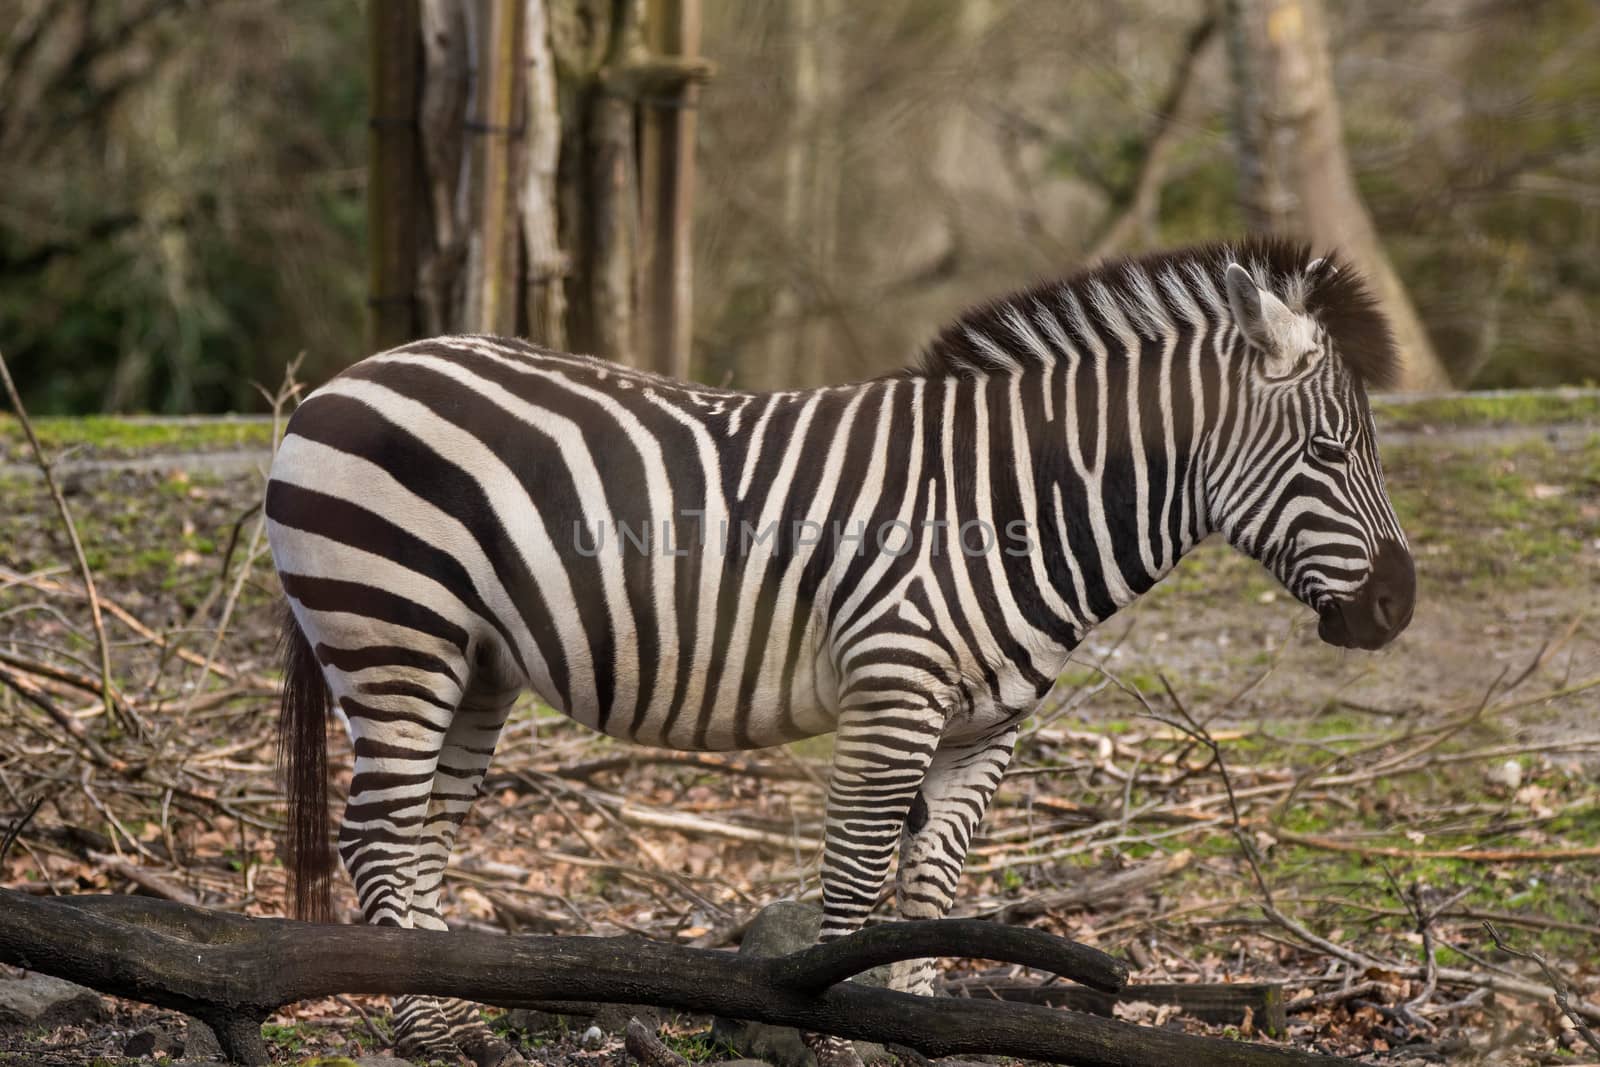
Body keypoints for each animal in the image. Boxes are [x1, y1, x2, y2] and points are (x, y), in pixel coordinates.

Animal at [268, 238, 1420, 1062]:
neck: (1008, 504)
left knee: (423, 833)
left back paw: (458, 1017)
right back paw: (426, 1029)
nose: (1397, 606)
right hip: (395, 632)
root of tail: (341, 382)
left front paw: (924, 1036)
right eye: (1330, 451)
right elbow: (860, 884)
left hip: (475, 663)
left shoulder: (986, 725)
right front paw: (831, 1028)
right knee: (377, 834)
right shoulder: (894, 687)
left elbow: (932, 891)